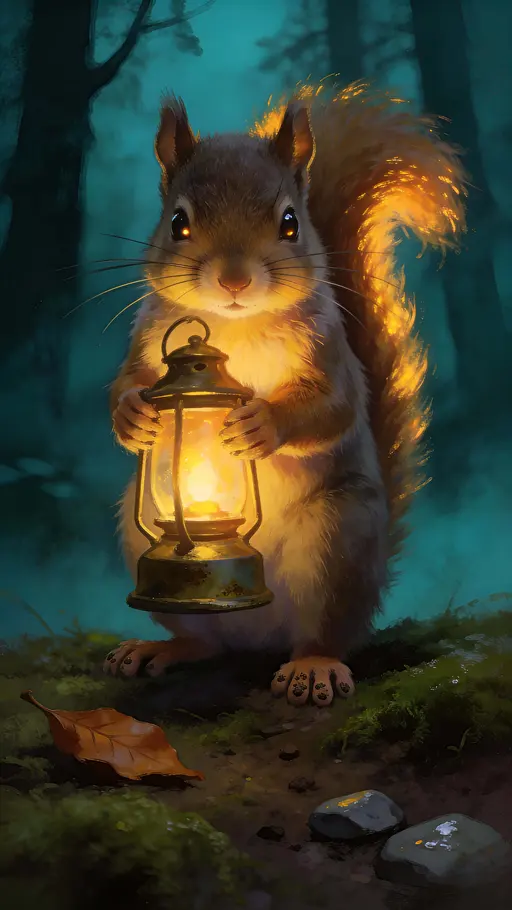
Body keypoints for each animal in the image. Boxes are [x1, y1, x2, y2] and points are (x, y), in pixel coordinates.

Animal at [103, 82, 466, 706]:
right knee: (204, 639)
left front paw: (260, 424)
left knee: (325, 633)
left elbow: (332, 408)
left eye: (291, 223)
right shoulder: (147, 339)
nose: (234, 279)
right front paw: (134, 416)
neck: (232, 328)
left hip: (337, 540)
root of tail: (260, 631)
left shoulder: (331, 355)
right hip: (140, 534)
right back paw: (165, 648)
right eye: (177, 223)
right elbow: (126, 383)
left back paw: (313, 665)